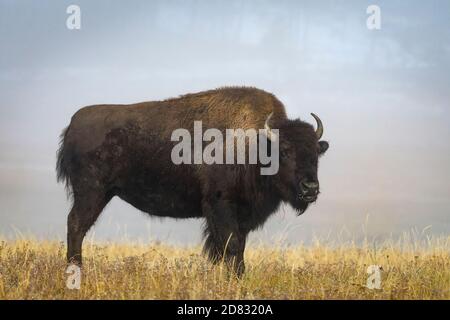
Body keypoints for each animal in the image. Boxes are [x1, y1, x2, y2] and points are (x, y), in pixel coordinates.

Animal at [58, 87, 328, 276]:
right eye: (284, 151)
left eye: (316, 153)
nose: (311, 188)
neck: (254, 146)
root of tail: (73, 123)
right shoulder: (221, 207)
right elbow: (230, 246)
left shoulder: (241, 215)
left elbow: (237, 248)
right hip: (91, 193)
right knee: (76, 225)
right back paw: (75, 272)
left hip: (100, 194)